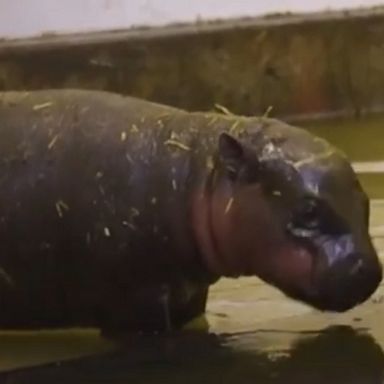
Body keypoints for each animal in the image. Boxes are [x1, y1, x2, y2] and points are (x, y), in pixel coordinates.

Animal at [0, 90, 380, 332]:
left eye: (365, 202)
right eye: (308, 210)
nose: (368, 270)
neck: (195, 177)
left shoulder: (188, 295)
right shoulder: (135, 303)